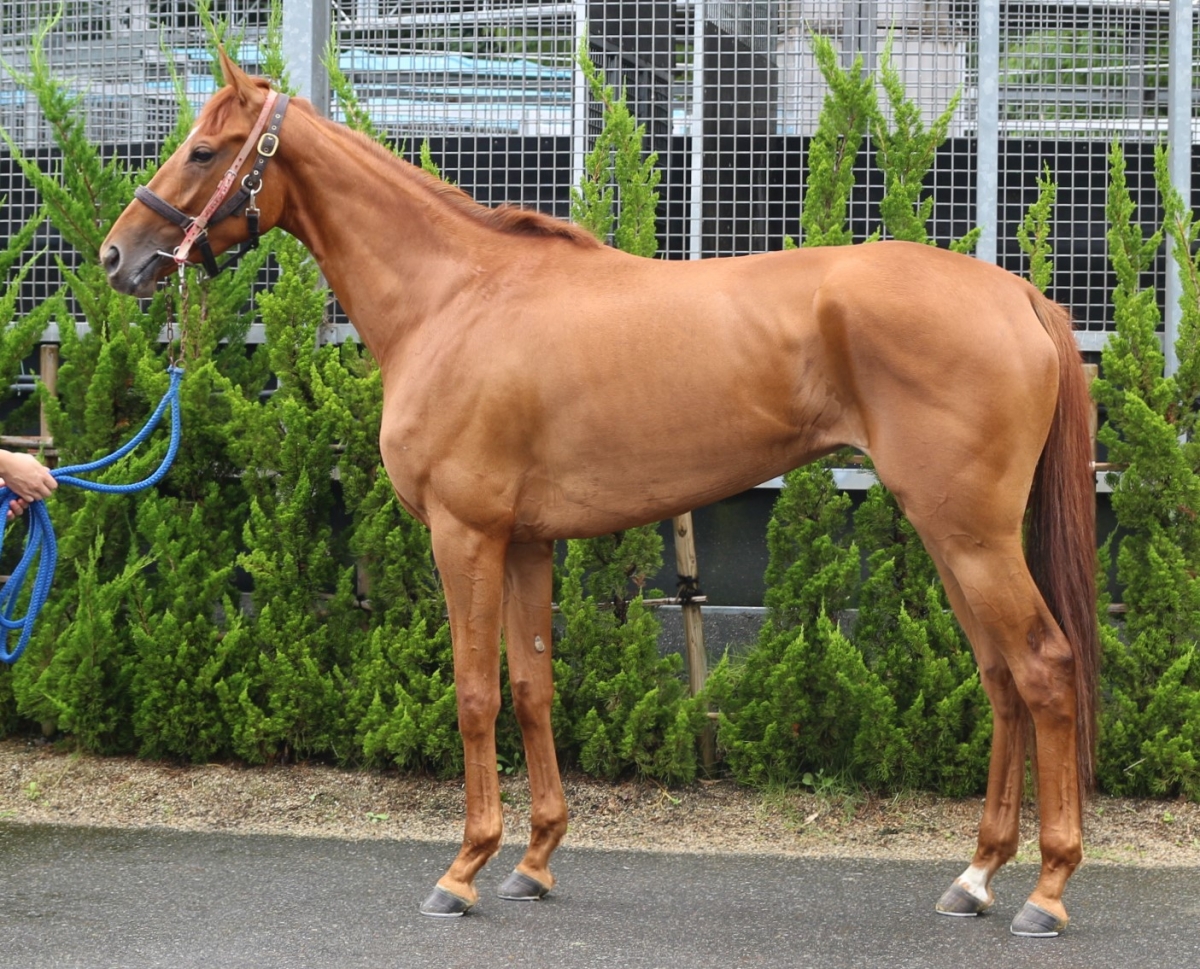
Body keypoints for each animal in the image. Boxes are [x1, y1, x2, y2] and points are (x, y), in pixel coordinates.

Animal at [101, 50, 1098, 938]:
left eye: (202, 150)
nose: (119, 256)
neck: (456, 297)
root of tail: (1018, 295)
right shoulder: (525, 541)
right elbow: (532, 685)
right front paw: (533, 861)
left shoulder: (466, 535)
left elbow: (475, 691)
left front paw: (462, 869)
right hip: (952, 536)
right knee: (1001, 678)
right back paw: (976, 876)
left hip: (970, 535)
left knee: (1045, 668)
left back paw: (1048, 893)